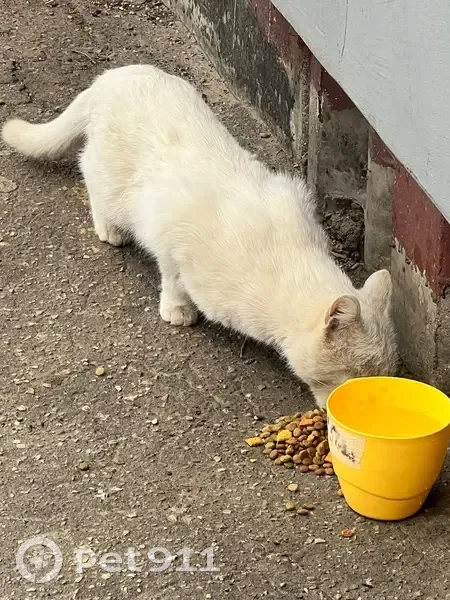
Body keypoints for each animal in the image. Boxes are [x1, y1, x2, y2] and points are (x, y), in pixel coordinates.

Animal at [1, 64, 397, 407]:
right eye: (357, 374)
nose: (368, 399)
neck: (287, 255)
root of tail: (114, 75)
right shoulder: (171, 236)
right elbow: (172, 278)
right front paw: (177, 308)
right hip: (110, 179)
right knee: (89, 174)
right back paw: (109, 229)